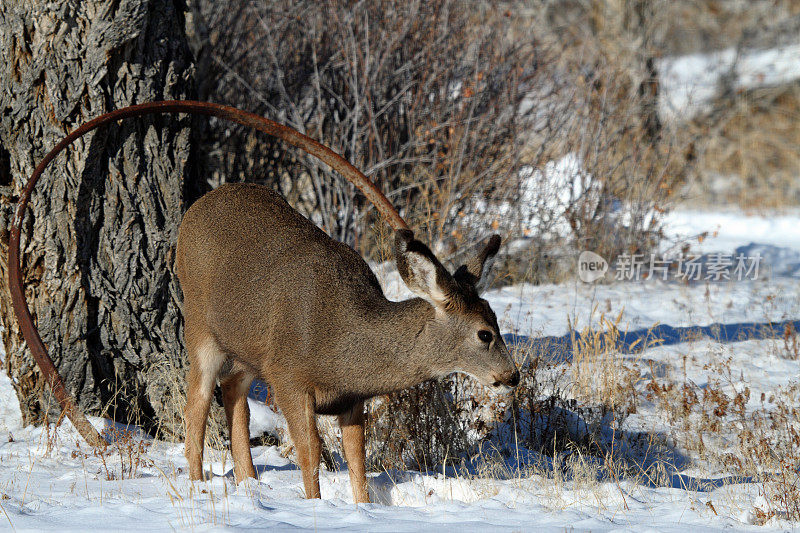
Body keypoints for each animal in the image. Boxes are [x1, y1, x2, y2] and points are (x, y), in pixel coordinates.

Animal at [175, 181, 520, 500]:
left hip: (245, 349)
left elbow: (357, 458)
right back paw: (198, 484)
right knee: (197, 404)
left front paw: (362, 506)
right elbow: (311, 451)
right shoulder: (287, 376)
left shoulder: (353, 398)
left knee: (233, 393)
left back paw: (249, 484)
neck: (342, 352)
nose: (512, 376)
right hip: (198, 325)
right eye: (484, 333)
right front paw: (315, 505)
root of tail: (197, 206)